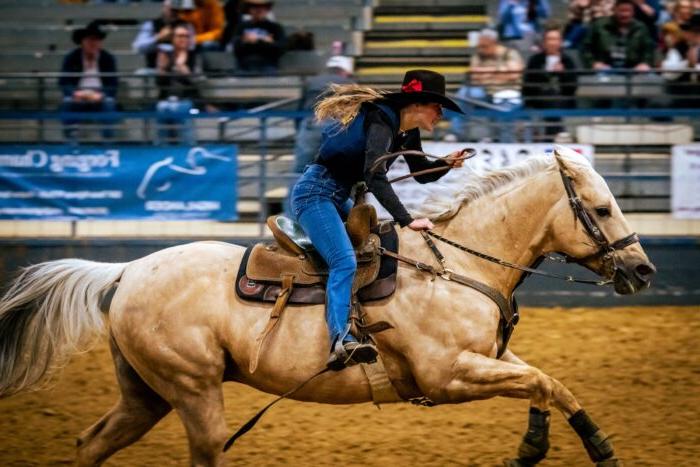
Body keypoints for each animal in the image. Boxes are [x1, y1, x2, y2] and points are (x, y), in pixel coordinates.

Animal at [1, 145, 656, 464]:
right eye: (601, 209)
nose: (644, 271)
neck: (457, 266)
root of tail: (128, 269)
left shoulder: (490, 360)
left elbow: (550, 382)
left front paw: (577, 444)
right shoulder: (447, 376)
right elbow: (541, 381)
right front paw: (544, 448)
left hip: (147, 394)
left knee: (92, 443)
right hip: (192, 392)